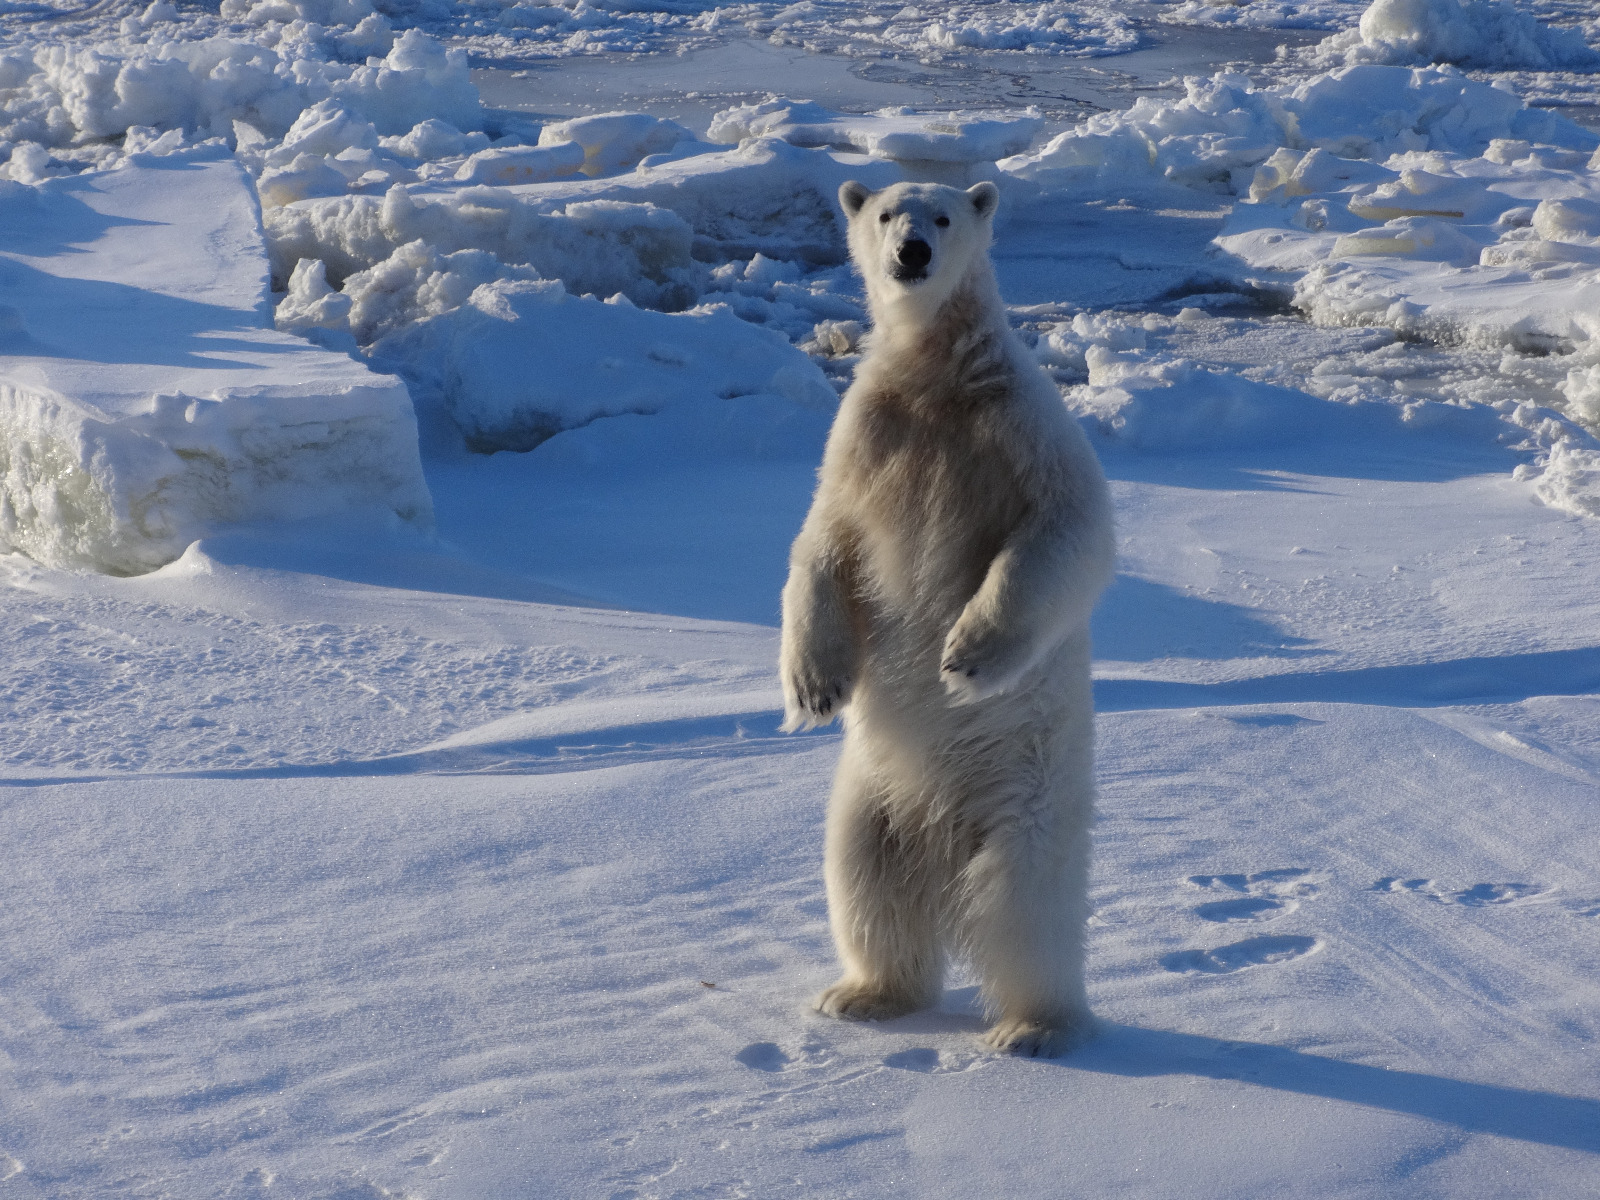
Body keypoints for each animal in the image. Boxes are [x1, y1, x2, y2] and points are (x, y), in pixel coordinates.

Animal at [777, 176, 1113, 1049]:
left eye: (944, 214)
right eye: (886, 212)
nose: (912, 253)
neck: (938, 380)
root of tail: (945, 840)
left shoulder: (1019, 425)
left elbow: (1068, 528)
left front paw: (965, 655)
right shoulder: (865, 436)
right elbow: (821, 542)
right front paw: (814, 688)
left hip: (1028, 797)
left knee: (1025, 911)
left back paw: (1034, 1027)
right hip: (873, 801)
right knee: (865, 886)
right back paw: (861, 995)